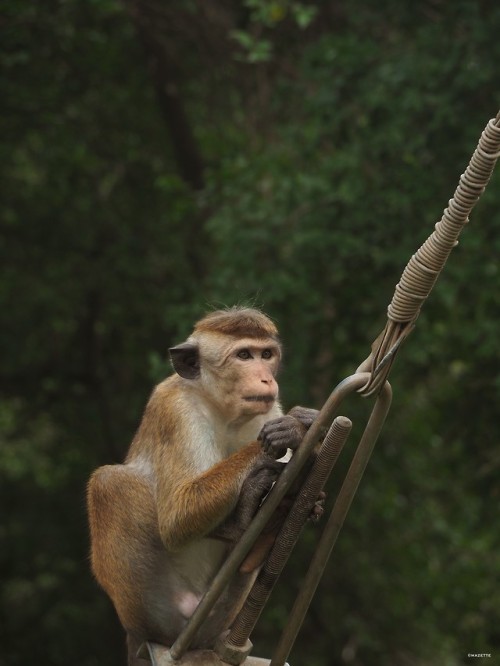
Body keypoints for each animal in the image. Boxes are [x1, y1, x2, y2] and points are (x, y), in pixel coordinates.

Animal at [87, 308, 316, 660]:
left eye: (266, 355)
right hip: (155, 609)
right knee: (109, 483)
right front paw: (294, 428)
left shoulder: (268, 409)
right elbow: (177, 518)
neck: (223, 411)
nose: (266, 378)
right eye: (244, 355)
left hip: (221, 610)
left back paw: (269, 523)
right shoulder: (174, 409)